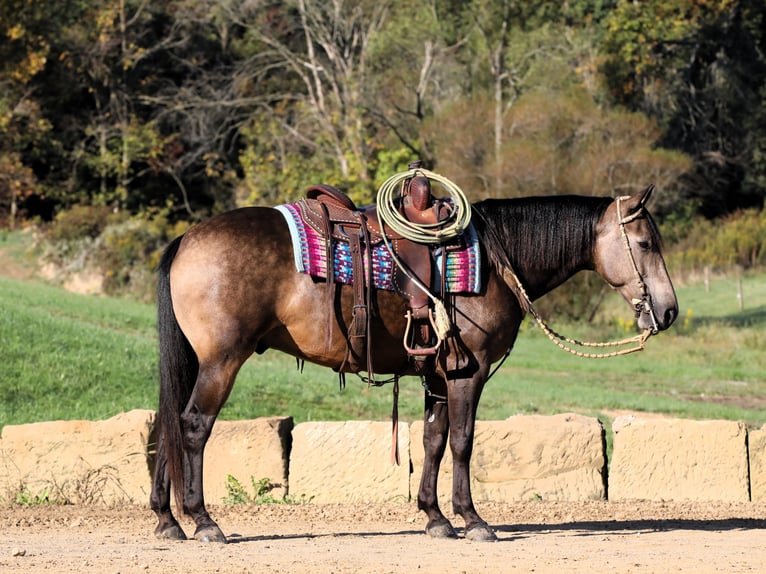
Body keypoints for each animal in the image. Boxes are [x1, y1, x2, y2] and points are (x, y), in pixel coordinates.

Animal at [150, 183, 680, 544]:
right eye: (646, 244)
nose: (670, 310)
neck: (495, 259)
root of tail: (186, 239)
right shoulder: (470, 371)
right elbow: (463, 442)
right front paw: (474, 519)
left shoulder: (439, 375)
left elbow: (433, 440)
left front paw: (436, 517)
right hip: (221, 361)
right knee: (193, 426)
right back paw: (204, 522)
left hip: (196, 362)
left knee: (167, 424)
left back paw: (166, 519)